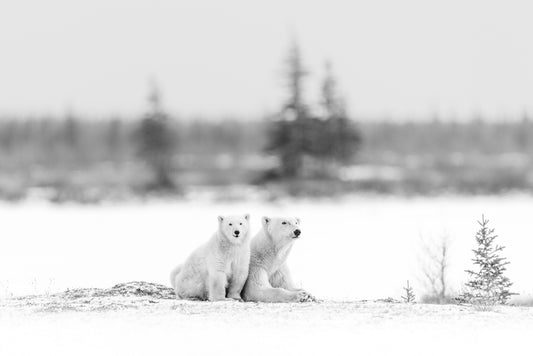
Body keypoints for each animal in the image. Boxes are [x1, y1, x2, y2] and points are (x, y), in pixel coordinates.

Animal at [169, 214, 312, 304]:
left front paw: (307, 293)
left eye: (296, 222)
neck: (268, 257)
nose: (297, 231)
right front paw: (299, 296)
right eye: (284, 222)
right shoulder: (256, 267)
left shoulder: (278, 269)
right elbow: (258, 290)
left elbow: (287, 284)